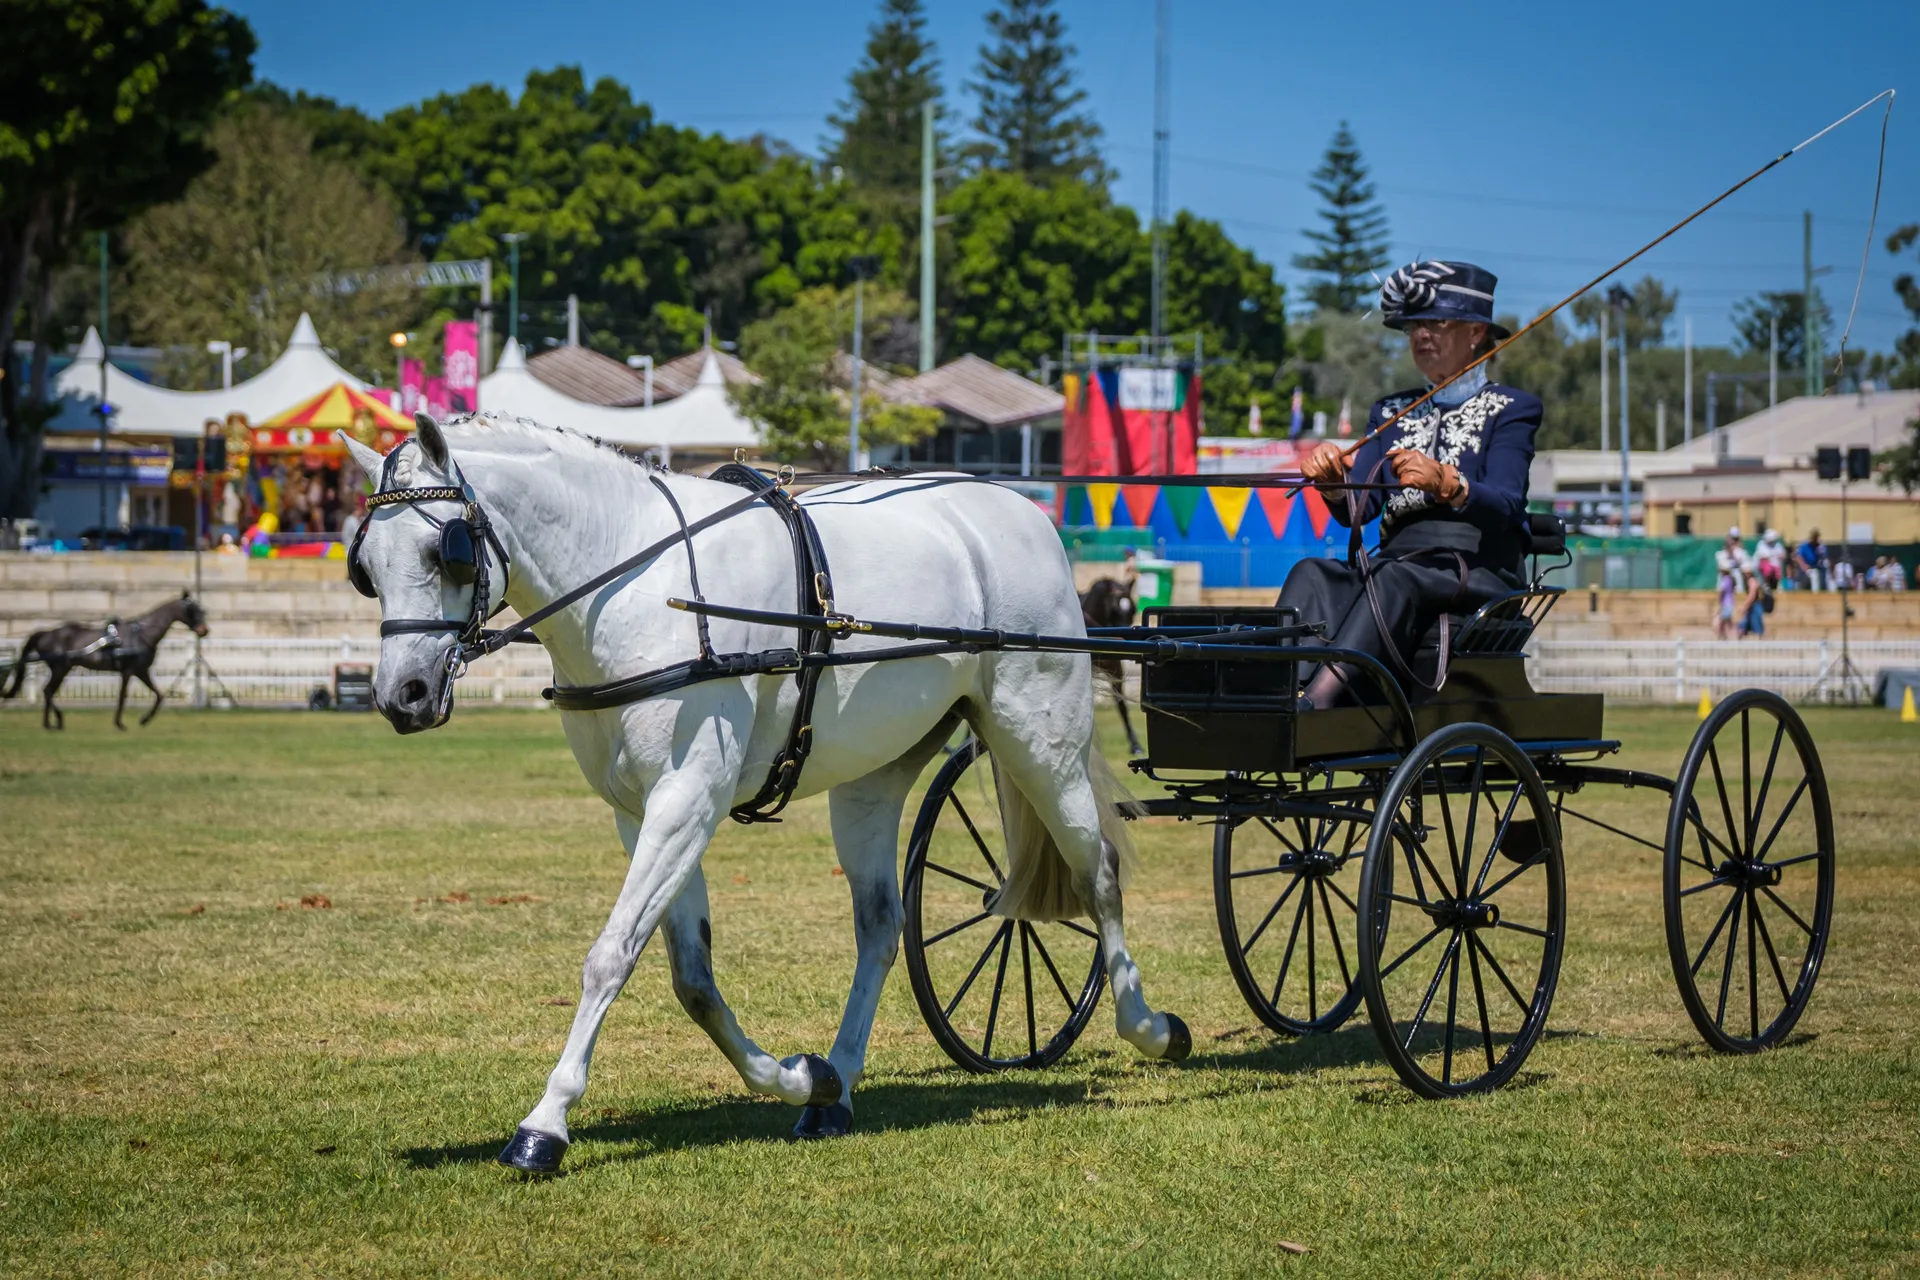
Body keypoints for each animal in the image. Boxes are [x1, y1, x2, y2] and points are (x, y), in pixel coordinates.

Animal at [1, 592, 208, 730]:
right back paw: (55, 721)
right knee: (48, 691)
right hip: (60, 668)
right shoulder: (128, 671)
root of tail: (46, 633)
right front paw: (119, 723)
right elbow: (123, 696)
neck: (141, 634)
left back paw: (50, 723)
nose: (204, 631)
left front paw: (144, 719)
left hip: (62, 669)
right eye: (192, 609)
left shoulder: (141, 671)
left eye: (201, 609)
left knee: (48, 691)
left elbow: (158, 695)